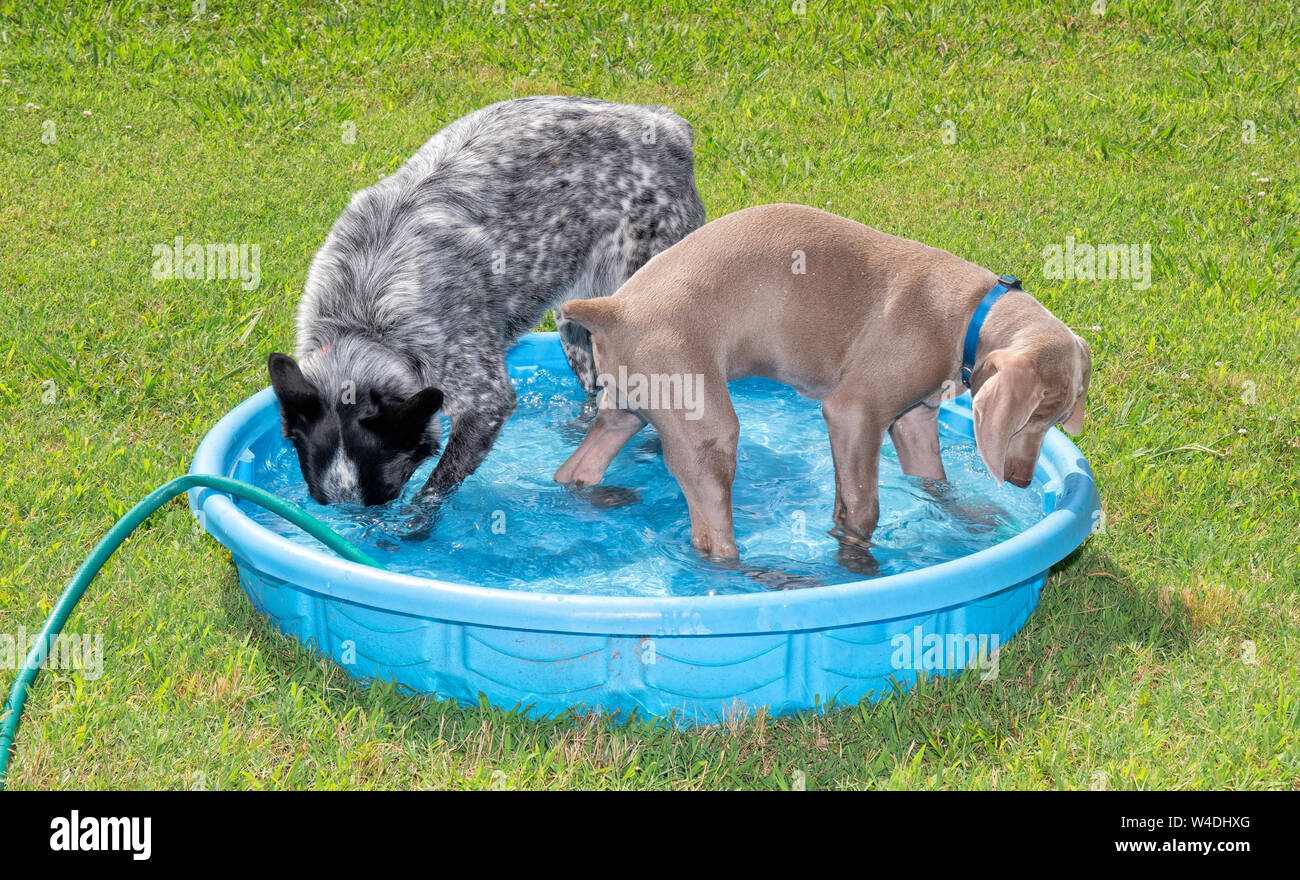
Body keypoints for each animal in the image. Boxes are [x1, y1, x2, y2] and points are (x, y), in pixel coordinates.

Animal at [267, 96, 707, 506]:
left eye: (387, 497)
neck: (366, 320)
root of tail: (670, 126)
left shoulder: (485, 403)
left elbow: (432, 492)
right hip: (575, 325)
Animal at [553, 202, 1092, 558]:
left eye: (1057, 421)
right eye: (1032, 417)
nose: (1021, 481)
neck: (968, 313)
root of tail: (613, 307)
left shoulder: (914, 420)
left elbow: (934, 483)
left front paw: (974, 519)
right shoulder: (854, 411)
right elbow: (864, 509)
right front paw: (858, 562)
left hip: (629, 408)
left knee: (578, 468)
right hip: (706, 431)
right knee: (712, 540)